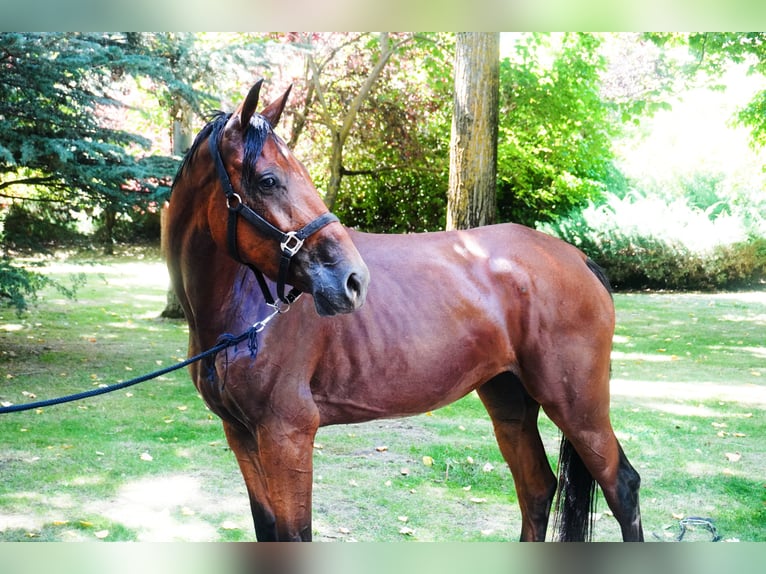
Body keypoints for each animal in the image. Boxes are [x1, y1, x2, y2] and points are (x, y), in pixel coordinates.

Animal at [165, 79, 643, 542]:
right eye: (267, 180)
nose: (353, 280)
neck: (241, 314)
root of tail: (576, 258)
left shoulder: (287, 434)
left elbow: (295, 534)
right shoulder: (242, 434)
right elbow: (267, 529)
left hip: (578, 406)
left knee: (621, 486)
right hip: (509, 397)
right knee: (538, 488)